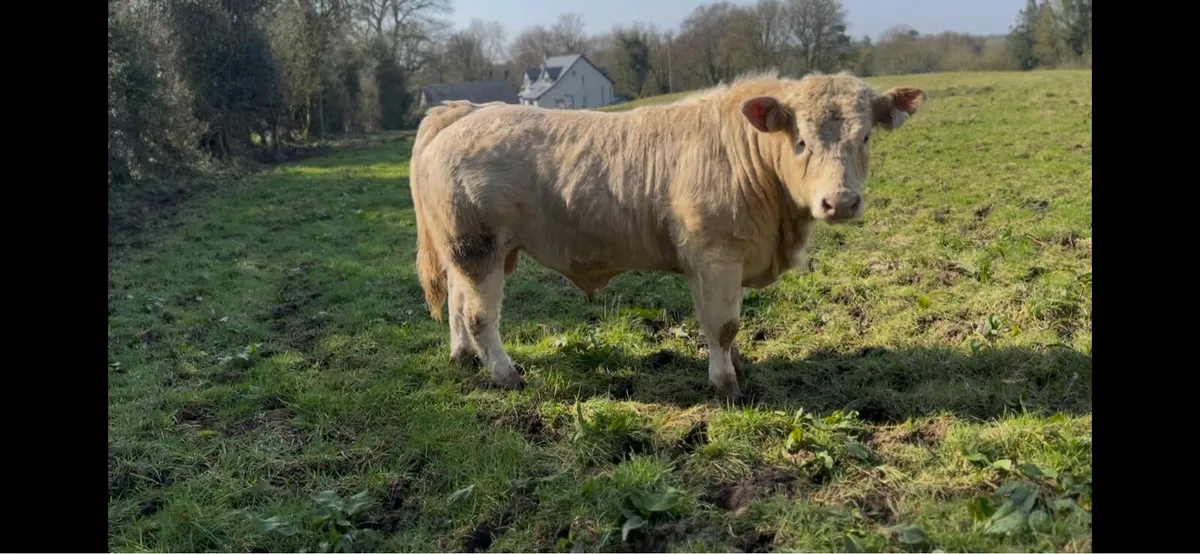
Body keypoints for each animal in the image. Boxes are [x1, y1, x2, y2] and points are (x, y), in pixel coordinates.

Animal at [408, 70, 927, 399]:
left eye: (865, 137)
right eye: (801, 141)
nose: (840, 202)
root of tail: (466, 110)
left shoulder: (720, 260)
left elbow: (726, 327)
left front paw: (737, 364)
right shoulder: (715, 256)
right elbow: (722, 325)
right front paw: (726, 386)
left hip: (468, 251)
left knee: (457, 304)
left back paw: (462, 357)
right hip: (478, 247)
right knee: (479, 315)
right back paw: (505, 374)